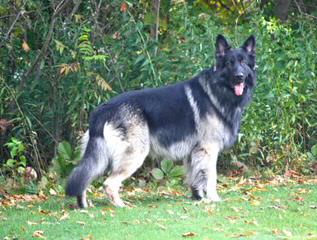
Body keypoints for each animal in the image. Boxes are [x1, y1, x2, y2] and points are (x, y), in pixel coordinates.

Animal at [65, 34, 256, 208]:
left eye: (244, 62)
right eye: (229, 63)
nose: (240, 76)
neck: (217, 90)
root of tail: (103, 109)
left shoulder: (193, 153)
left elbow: (194, 177)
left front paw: (198, 198)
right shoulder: (208, 149)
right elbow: (210, 177)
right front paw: (213, 199)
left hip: (99, 155)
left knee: (83, 177)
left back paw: (83, 205)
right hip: (135, 154)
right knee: (108, 183)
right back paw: (120, 205)